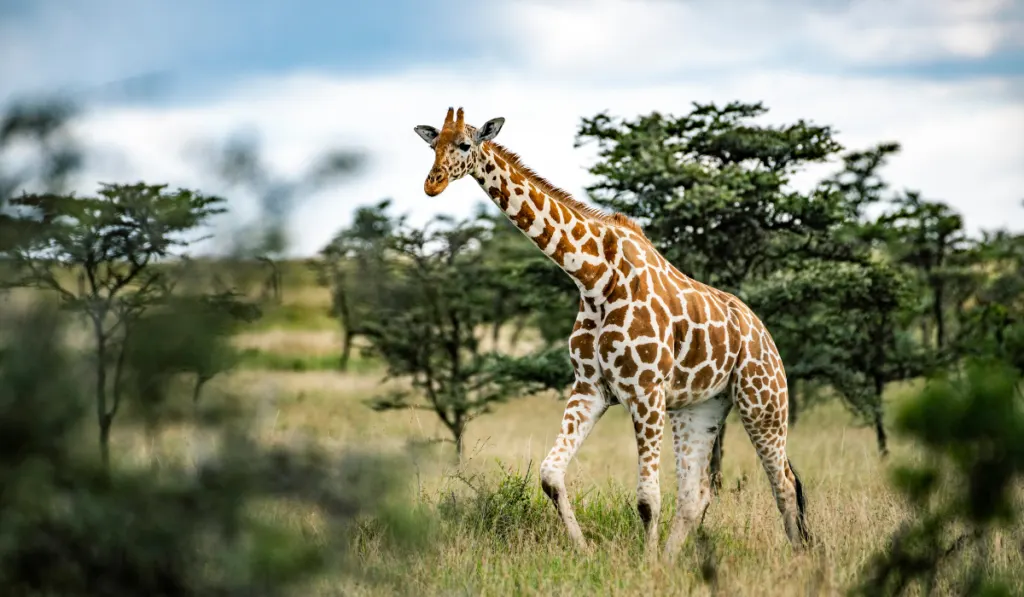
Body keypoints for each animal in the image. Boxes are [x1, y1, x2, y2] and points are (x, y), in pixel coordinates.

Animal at [411, 106, 811, 561]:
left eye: (464, 144)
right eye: (432, 144)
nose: (432, 183)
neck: (594, 278)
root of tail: (764, 333)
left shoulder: (645, 392)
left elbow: (647, 498)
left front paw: (645, 566)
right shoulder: (591, 387)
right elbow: (550, 475)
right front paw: (586, 551)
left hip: (763, 400)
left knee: (784, 483)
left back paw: (798, 560)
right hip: (700, 406)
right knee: (696, 494)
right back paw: (673, 561)